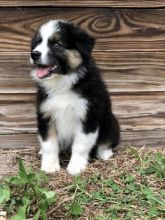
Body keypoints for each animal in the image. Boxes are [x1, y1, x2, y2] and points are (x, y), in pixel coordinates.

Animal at [30, 19, 120, 174]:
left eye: (56, 44)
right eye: (38, 42)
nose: (33, 54)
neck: (63, 81)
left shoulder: (88, 116)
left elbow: (80, 146)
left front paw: (76, 167)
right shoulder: (46, 115)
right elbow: (49, 144)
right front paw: (50, 166)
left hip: (110, 121)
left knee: (107, 140)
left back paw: (105, 153)